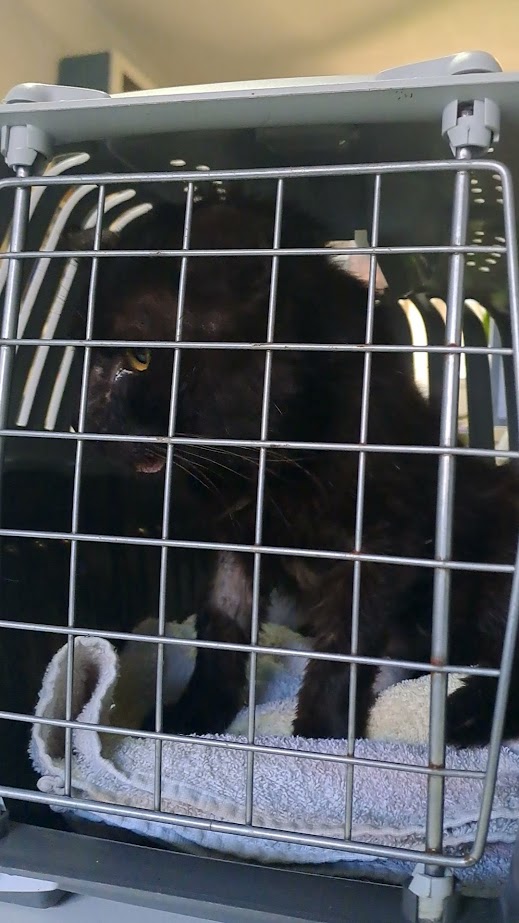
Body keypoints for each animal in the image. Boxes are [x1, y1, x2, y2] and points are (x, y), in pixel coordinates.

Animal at [78, 191, 519, 746]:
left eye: (139, 358)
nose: (90, 423)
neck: (269, 464)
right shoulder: (237, 540)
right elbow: (221, 624)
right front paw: (195, 717)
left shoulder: (381, 537)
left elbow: (342, 646)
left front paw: (318, 739)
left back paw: (467, 717)